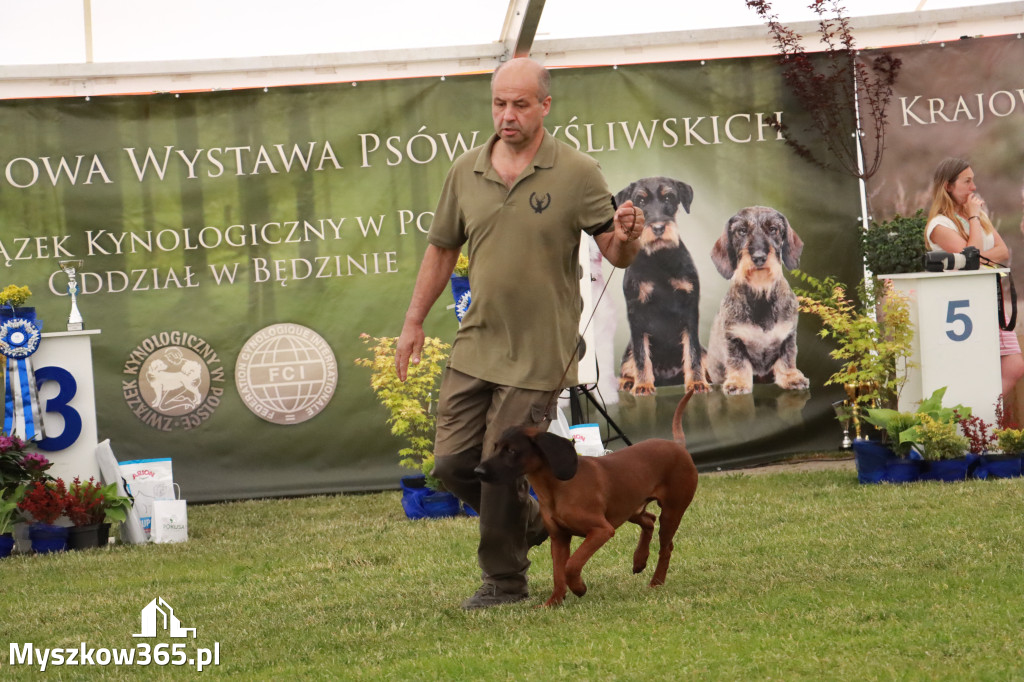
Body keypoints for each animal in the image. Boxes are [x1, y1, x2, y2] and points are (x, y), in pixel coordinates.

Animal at [475, 387, 700, 606]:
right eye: (495, 447)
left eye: (512, 451)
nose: (478, 471)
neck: (557, 488)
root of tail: (678, 445)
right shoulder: (559, 538)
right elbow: (558, 573)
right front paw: (553, 602)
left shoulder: (601, 530)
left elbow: (571, 565)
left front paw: (578, 588)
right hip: (629, 508)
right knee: (649, 520)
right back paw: (639, 560)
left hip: (671, 512)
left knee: (666, 546)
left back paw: (656, 581)